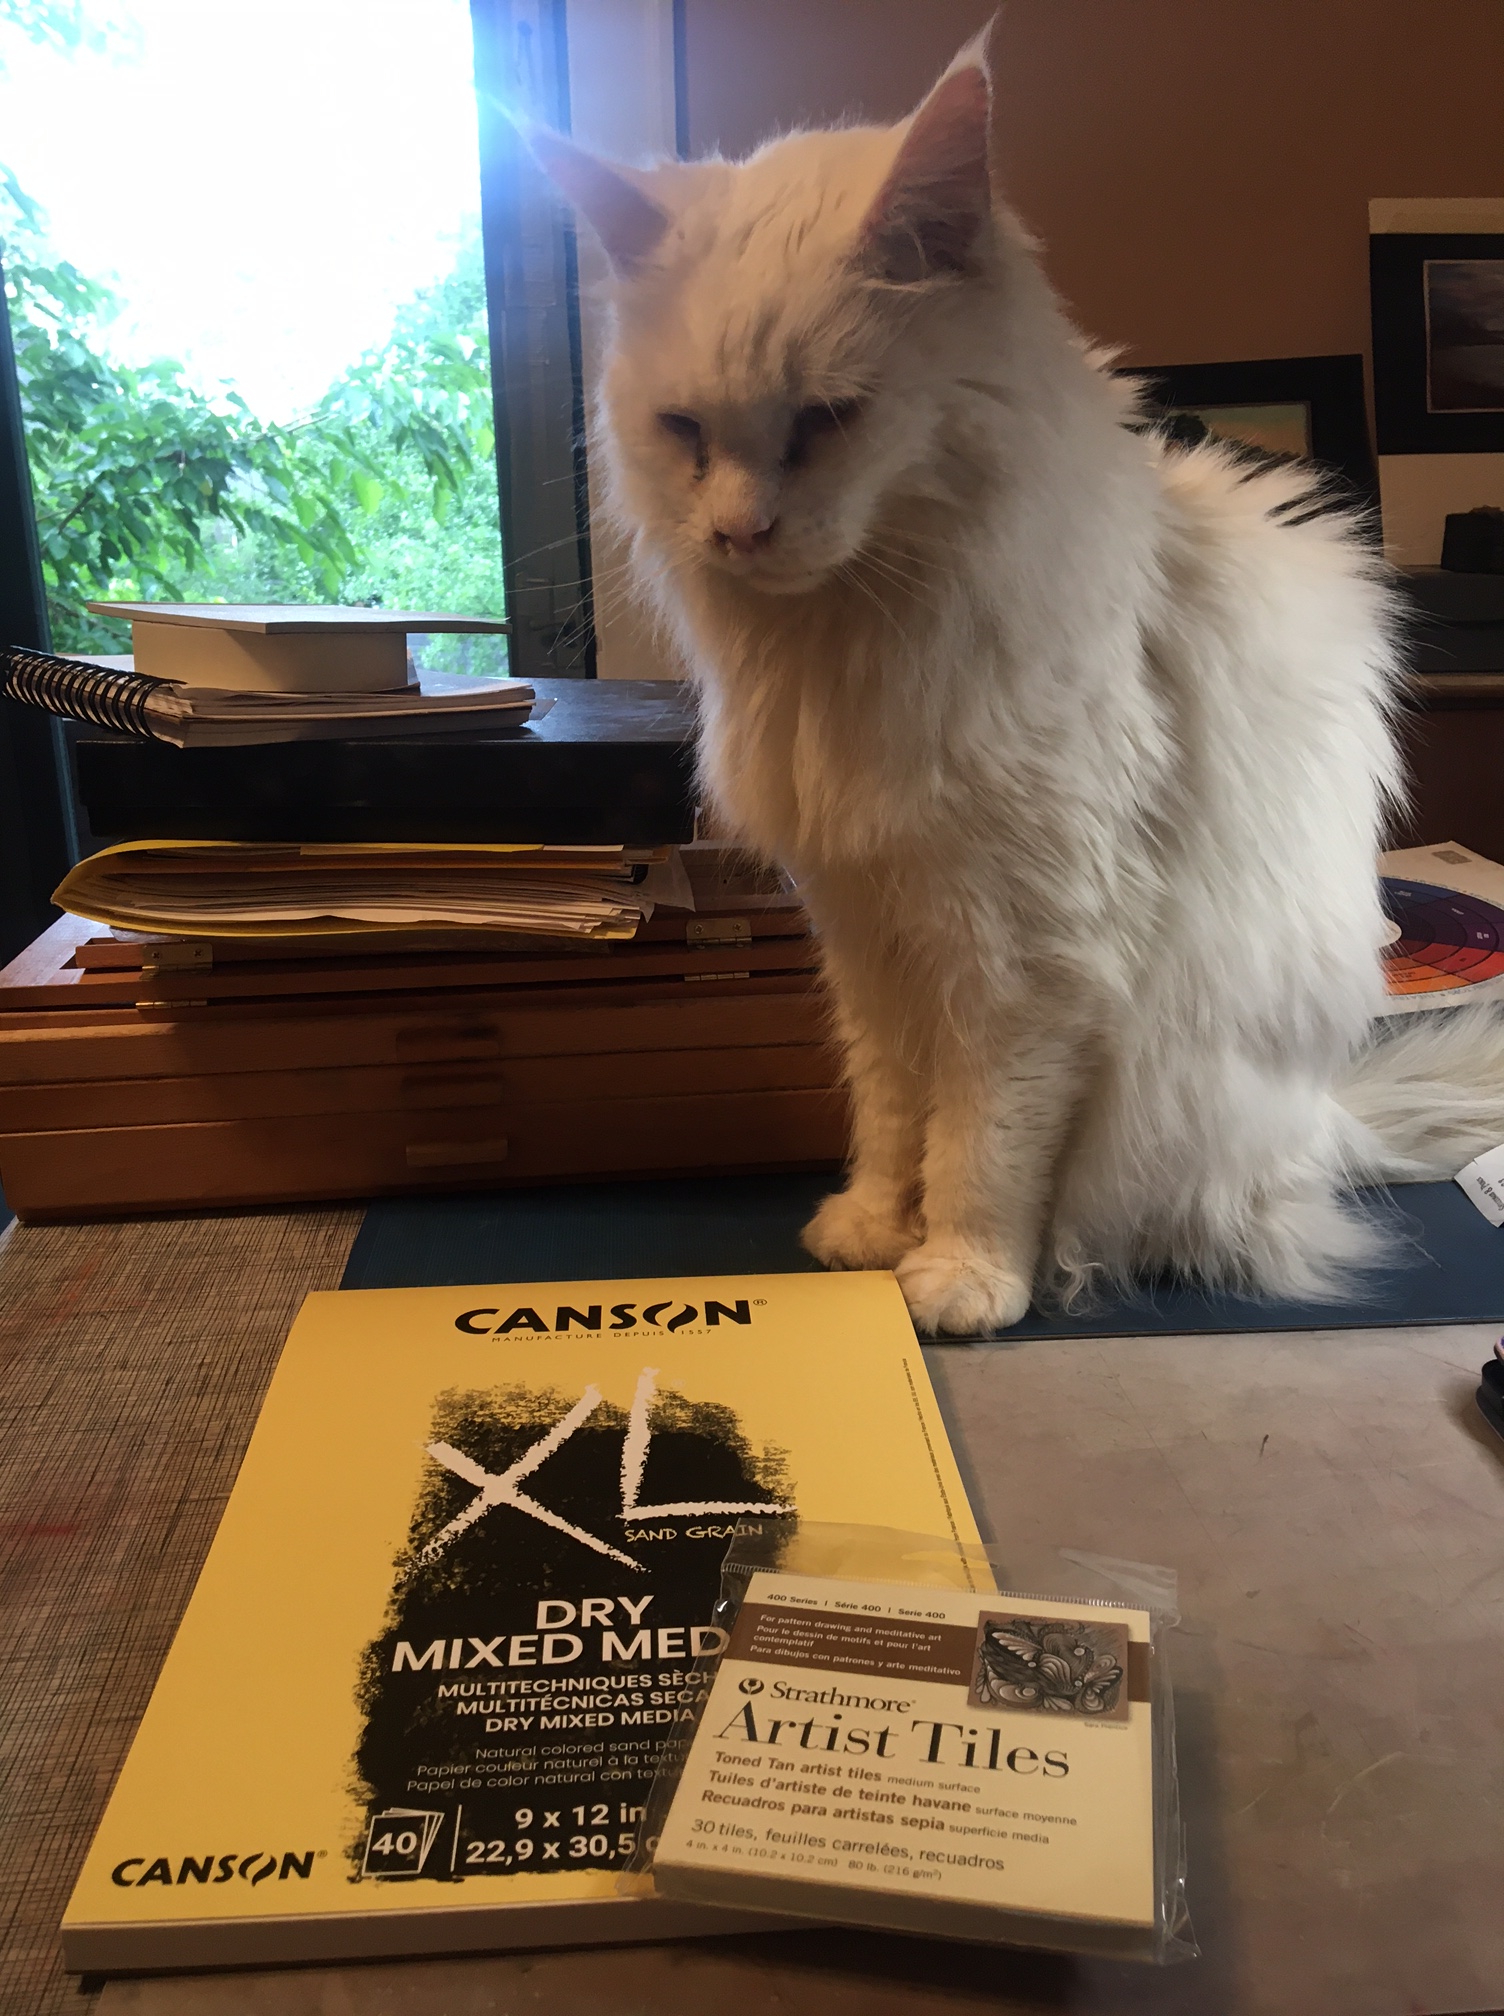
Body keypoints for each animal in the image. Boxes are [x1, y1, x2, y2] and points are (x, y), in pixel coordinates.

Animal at [528, 30, 1504, 1334]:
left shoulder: (1020, 960)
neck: (858, 639)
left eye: (828, 419)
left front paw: (962, 1275)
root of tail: (1323, 1122)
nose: (737, 534)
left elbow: (982, 1146)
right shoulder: (869, 937)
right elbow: (892, 1117)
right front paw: (869, 1232)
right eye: (686, 430)